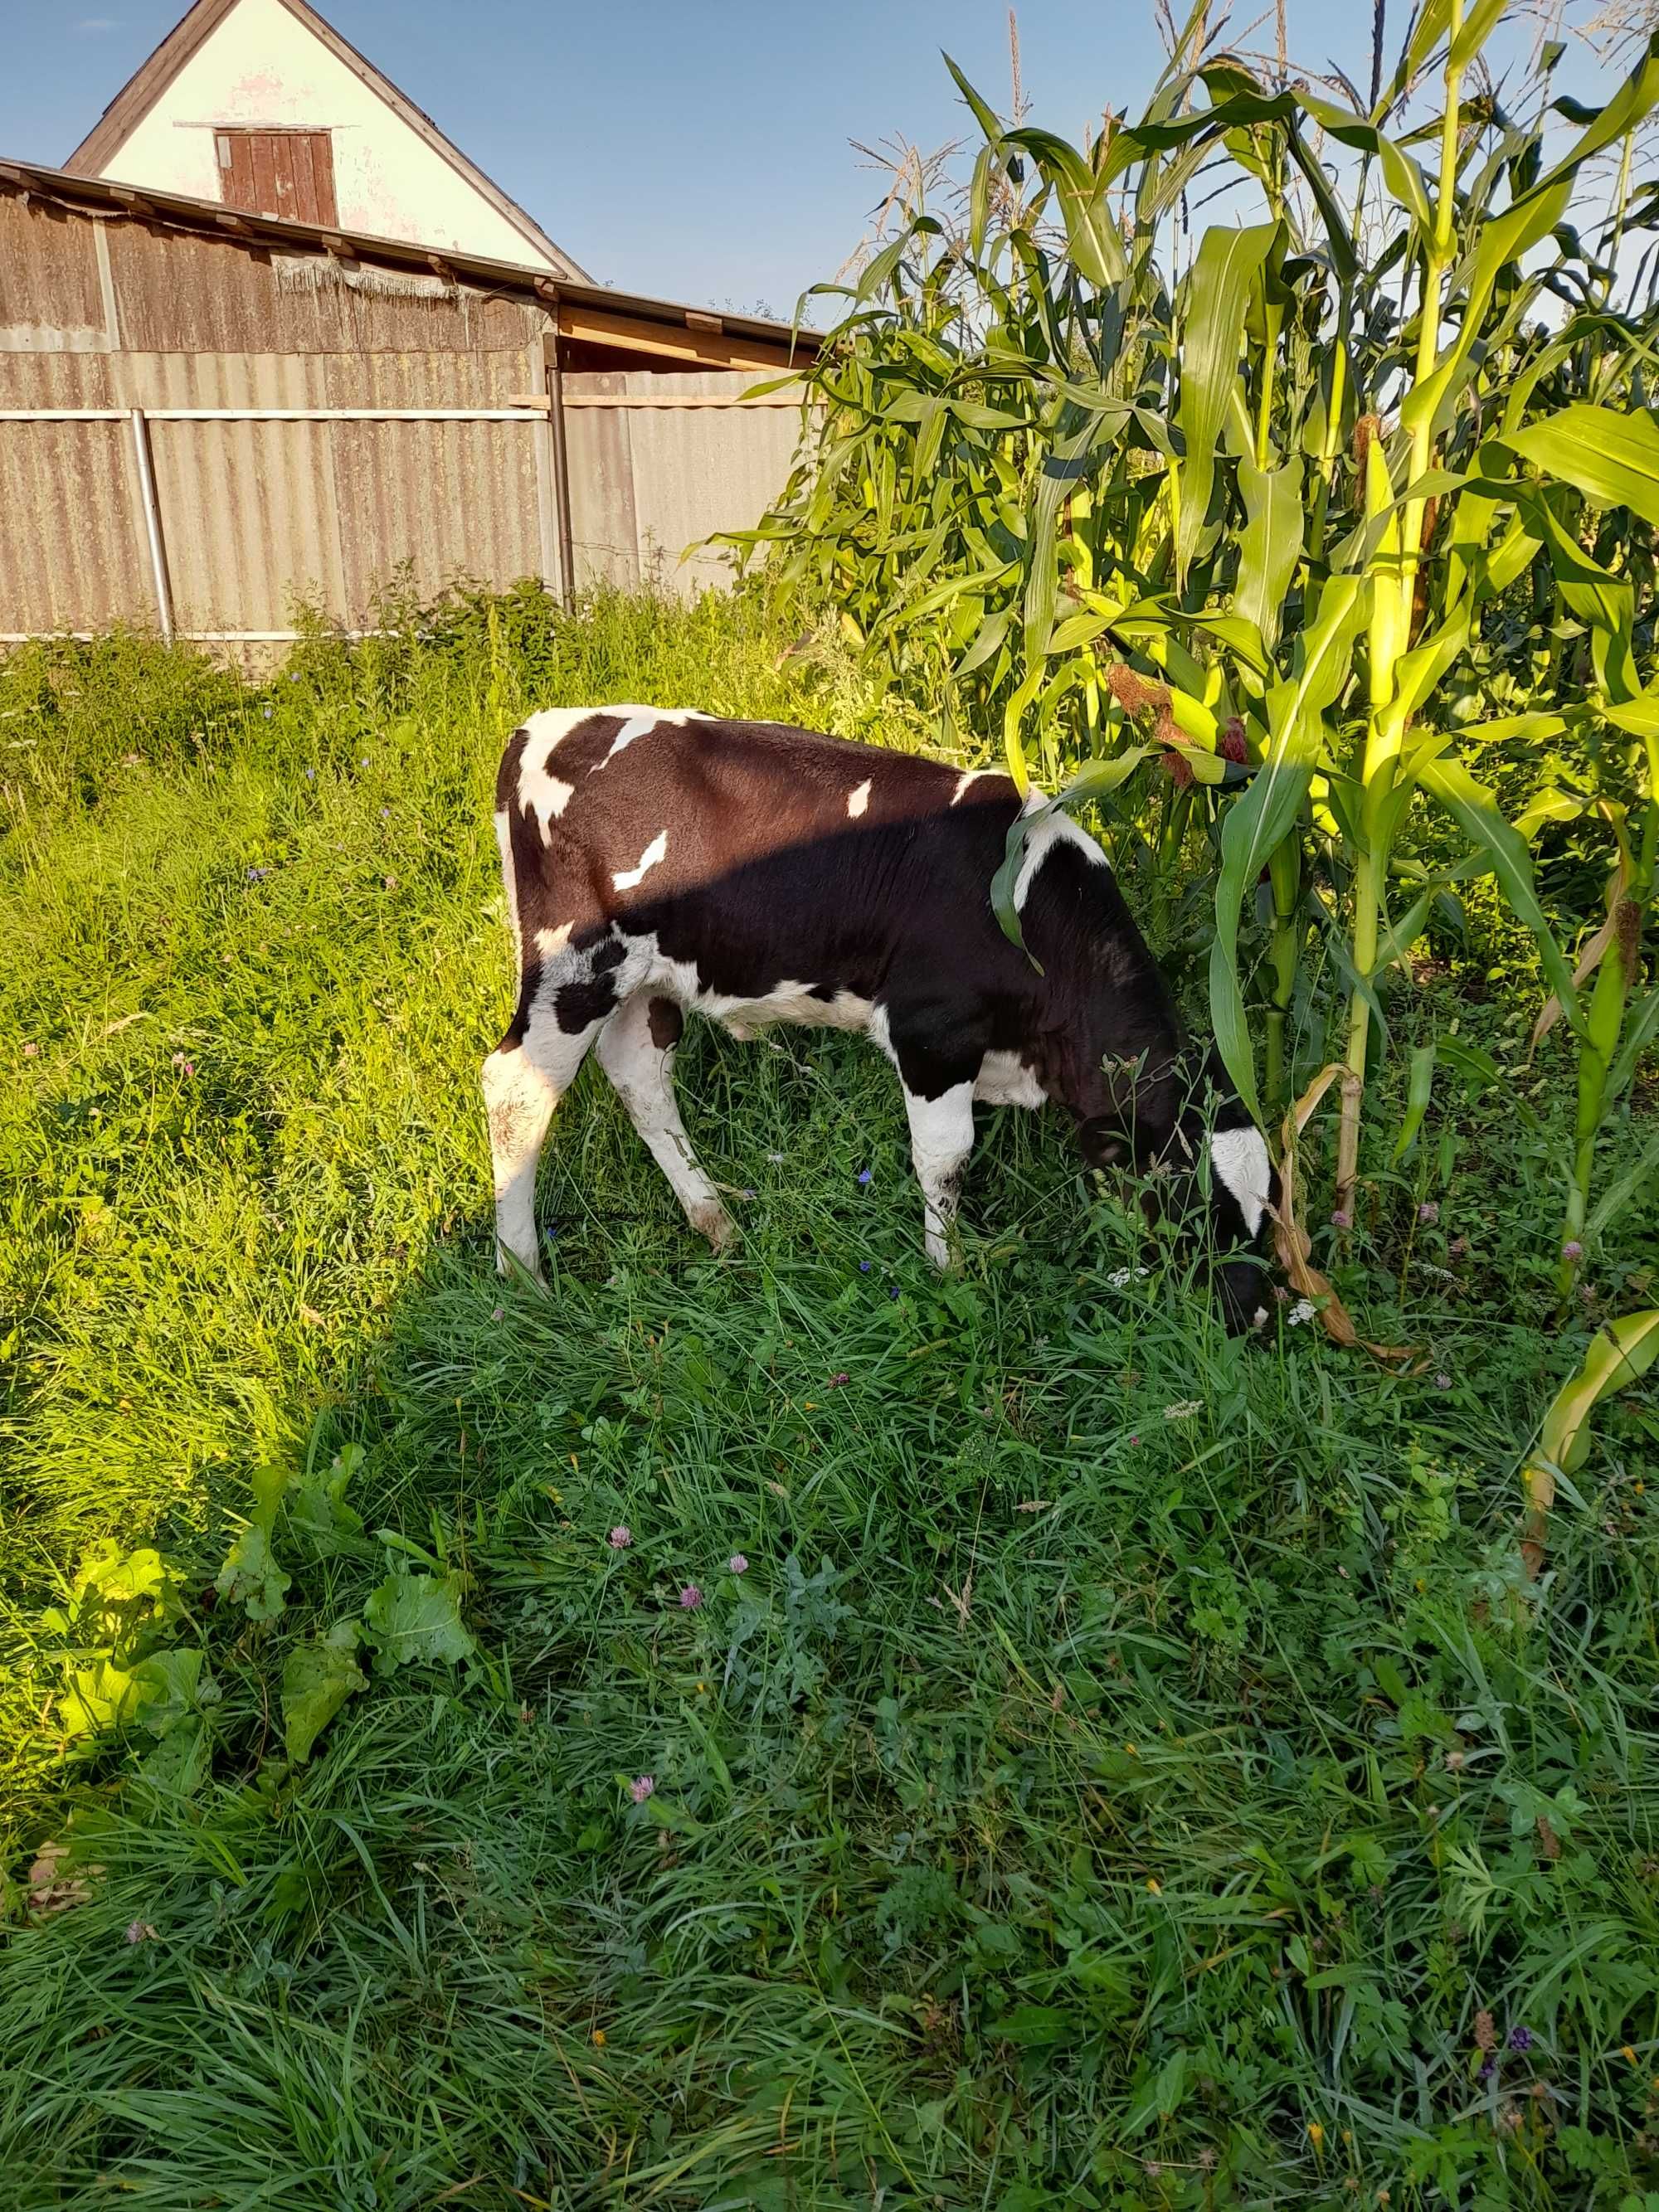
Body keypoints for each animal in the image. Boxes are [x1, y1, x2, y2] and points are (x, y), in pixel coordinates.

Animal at [486, 717, 1282, 1318]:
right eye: (1191, 1199)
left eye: (1267, 1209)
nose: (1254, 1314)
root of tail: (537, 728)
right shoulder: (932, 1033)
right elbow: (946, 1157)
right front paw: (949, 1267)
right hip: (575, 964)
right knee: (515, 1089)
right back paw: (524, 1275)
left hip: (646, 982)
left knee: (640, 1079)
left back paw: (716, 1221)